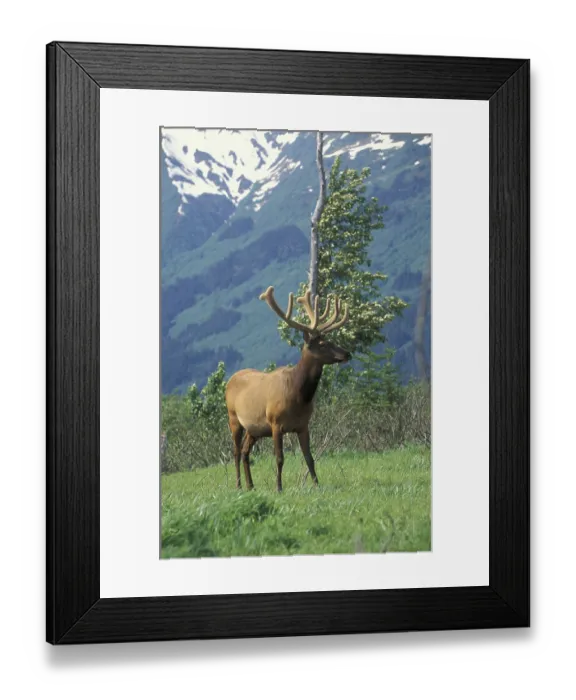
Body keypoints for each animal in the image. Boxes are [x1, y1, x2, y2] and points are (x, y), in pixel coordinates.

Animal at [225, 286, 351, 492]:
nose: (347, 353)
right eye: (323, 344)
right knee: (235, 451)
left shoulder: (303, 425)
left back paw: (251, 485)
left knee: (245, 451)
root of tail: (230, 380)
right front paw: (279, 487)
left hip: (254, 428)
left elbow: (310, 458)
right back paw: (238, 486)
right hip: (234, 418)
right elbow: (279, 458)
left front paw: (317, 484)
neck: (299, 396)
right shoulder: (276, 424)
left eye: (330, 340)